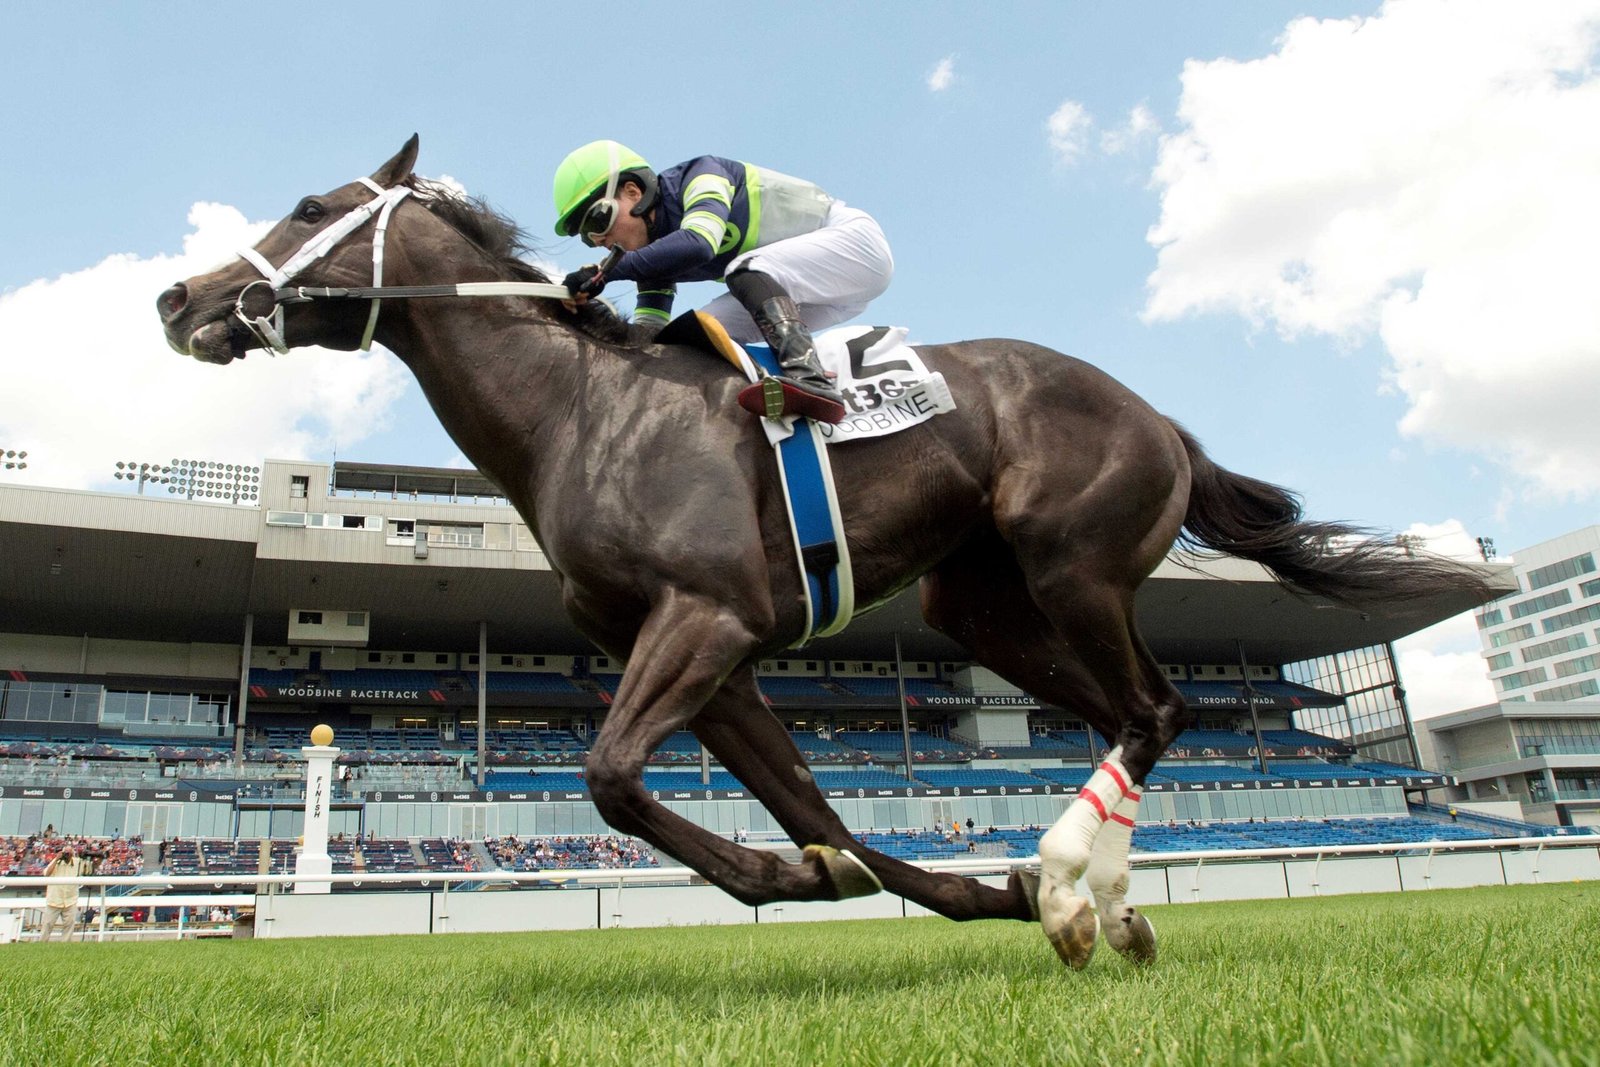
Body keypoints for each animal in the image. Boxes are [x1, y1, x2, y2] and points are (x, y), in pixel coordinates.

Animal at [156, 137, 1478, 972]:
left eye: (311, 209)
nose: (178, 300)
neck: (578, 407)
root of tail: (1157, 418)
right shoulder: (716, 658)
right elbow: (813, 808)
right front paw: (940, 884)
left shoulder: (708, 619)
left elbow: (614, 778)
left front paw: (835, 877)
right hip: (982, 608)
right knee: (1134, 715)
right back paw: (1094, 902)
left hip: (1074, 565)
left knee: (1156, 708)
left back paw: (1068, 879)